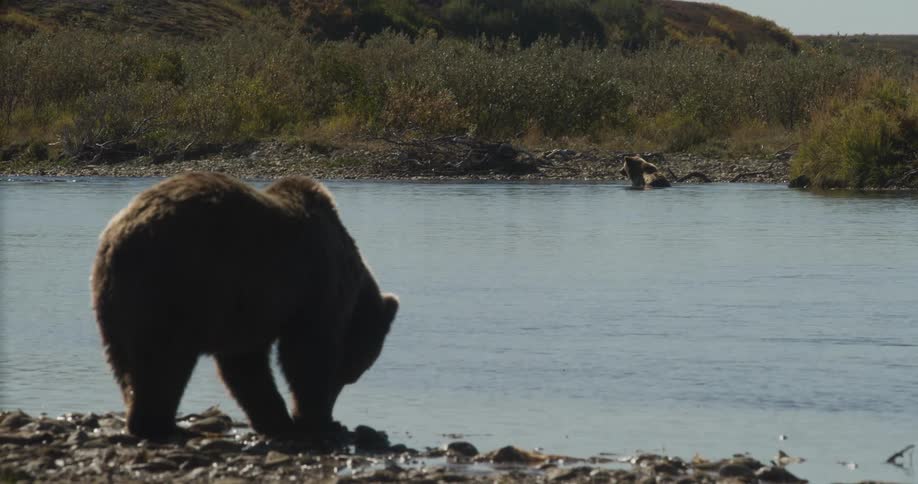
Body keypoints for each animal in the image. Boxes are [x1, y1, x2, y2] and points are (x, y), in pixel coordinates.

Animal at [90, 172, 398, 441]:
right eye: (350, 372)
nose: (338, 391)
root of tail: (124, 232)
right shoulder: (314, 285)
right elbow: (307, 354)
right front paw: (316, 421)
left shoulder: (247, 311)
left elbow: (245, 367)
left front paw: (281, 421)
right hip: (179, 283)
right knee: (165, 358)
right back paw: (165, 425)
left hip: (116, 298)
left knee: (127, 361)